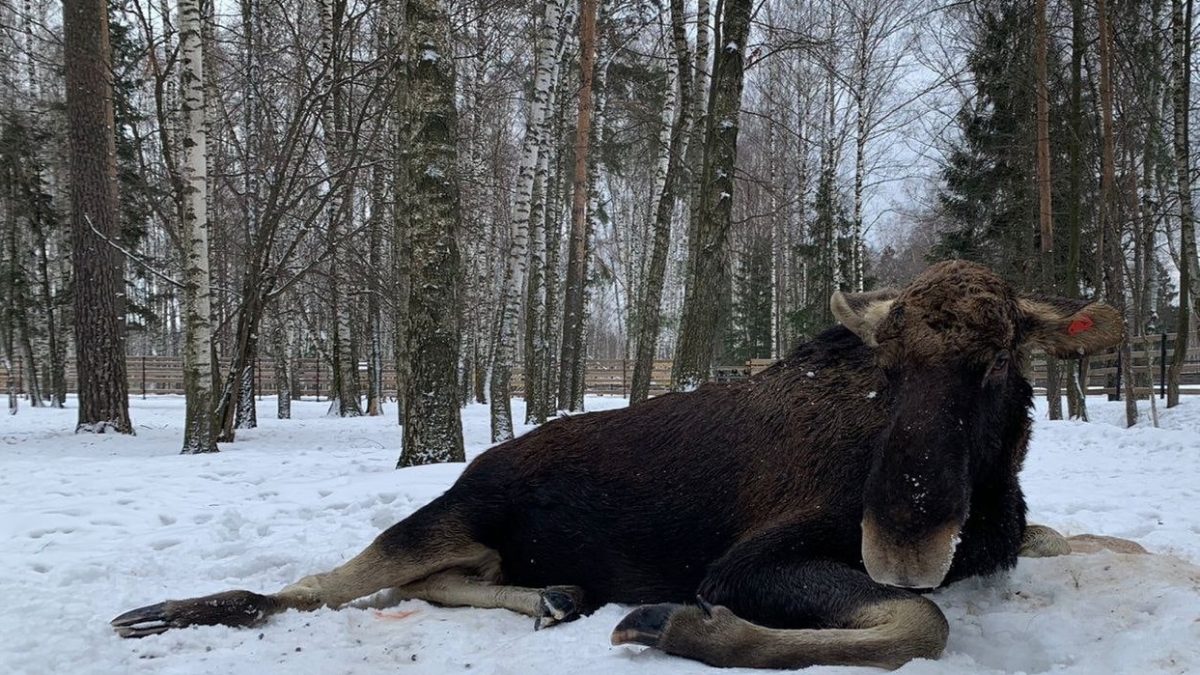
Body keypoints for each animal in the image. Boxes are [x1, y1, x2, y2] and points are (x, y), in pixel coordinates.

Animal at [110, 260, 1123, 662]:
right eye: (890, 366)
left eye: (995, 362)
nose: (904, 539)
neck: (990, 498)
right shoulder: (742, 561)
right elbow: (920, 623)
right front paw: (683, 627)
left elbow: (1091, 543)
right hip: (440, 515)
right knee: (305, 587)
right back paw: (161, 611)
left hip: (473, 541)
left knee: (433, 583)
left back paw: (553, 595)